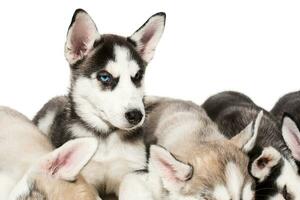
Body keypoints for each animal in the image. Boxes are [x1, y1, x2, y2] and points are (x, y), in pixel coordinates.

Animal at [33, 9, 166, 197]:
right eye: (105, 77)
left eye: (138, 76)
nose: (136, 115)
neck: (106, 138)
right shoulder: (84, 174)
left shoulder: (134, 167)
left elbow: (130, 180)